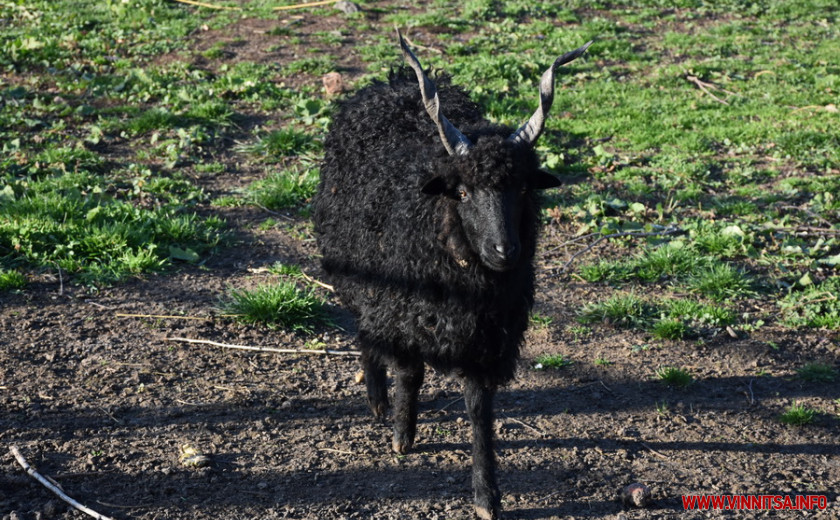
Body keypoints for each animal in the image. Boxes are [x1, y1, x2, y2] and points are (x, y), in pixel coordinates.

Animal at [312, 34, 592, 516]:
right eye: (461, 192)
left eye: (522, 187)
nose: (504, 250)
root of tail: (397, 82)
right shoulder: (403, 312)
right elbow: (410, 374)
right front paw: (402, 436)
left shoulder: (488, 340)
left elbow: (480, 412)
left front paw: (487, 495)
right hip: (360, 277)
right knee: (365, 330)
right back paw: (378, 400)